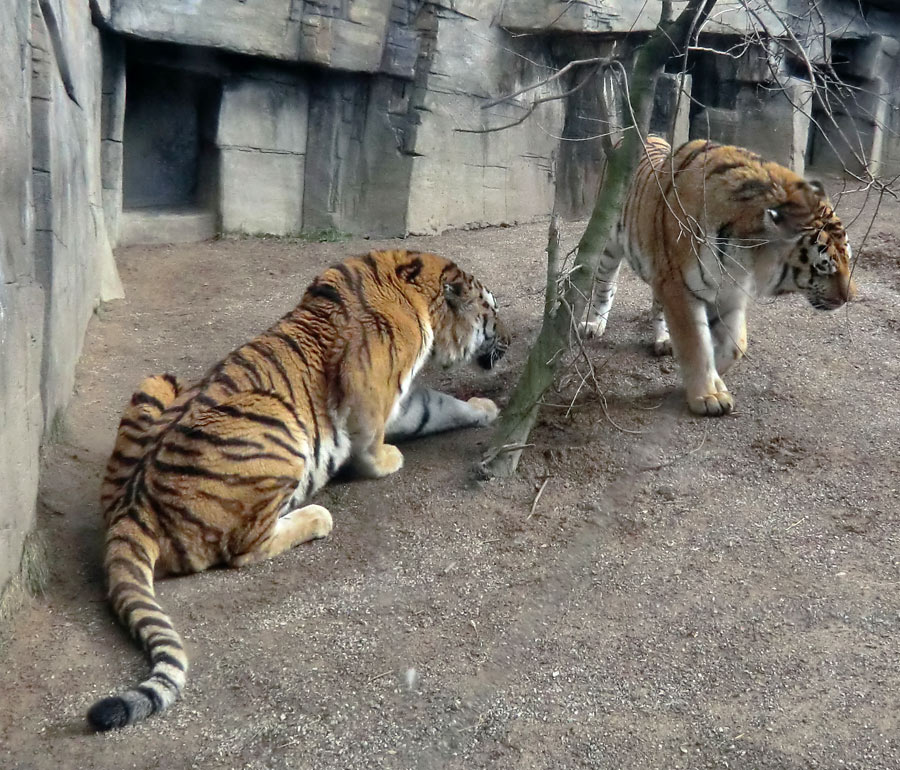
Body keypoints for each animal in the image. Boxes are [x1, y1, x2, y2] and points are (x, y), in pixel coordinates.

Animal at [88, 249, 510, 728]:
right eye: (491, 312)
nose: (508, 341)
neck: (414, 288)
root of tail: (131, 509)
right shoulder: (371, 390)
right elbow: (374, 444)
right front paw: (391, 460)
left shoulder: (400, 399)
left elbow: (435, 407)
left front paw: (483, 409)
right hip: (280, 429)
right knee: (242, 550)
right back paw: (317, 518)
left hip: (157, 381)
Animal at [584, 135, 856, 416]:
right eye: (824, 267)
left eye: (848, 257)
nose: (850, 298)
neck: (746, 256)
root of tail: (646, 136)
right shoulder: (679, 286)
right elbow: (696, 344)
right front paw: (707, 396)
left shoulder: (729, 291)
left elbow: (735, 345)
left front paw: (715, 378)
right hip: (609, 243)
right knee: (605, 284)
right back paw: (594, 325)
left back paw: (663, 339)